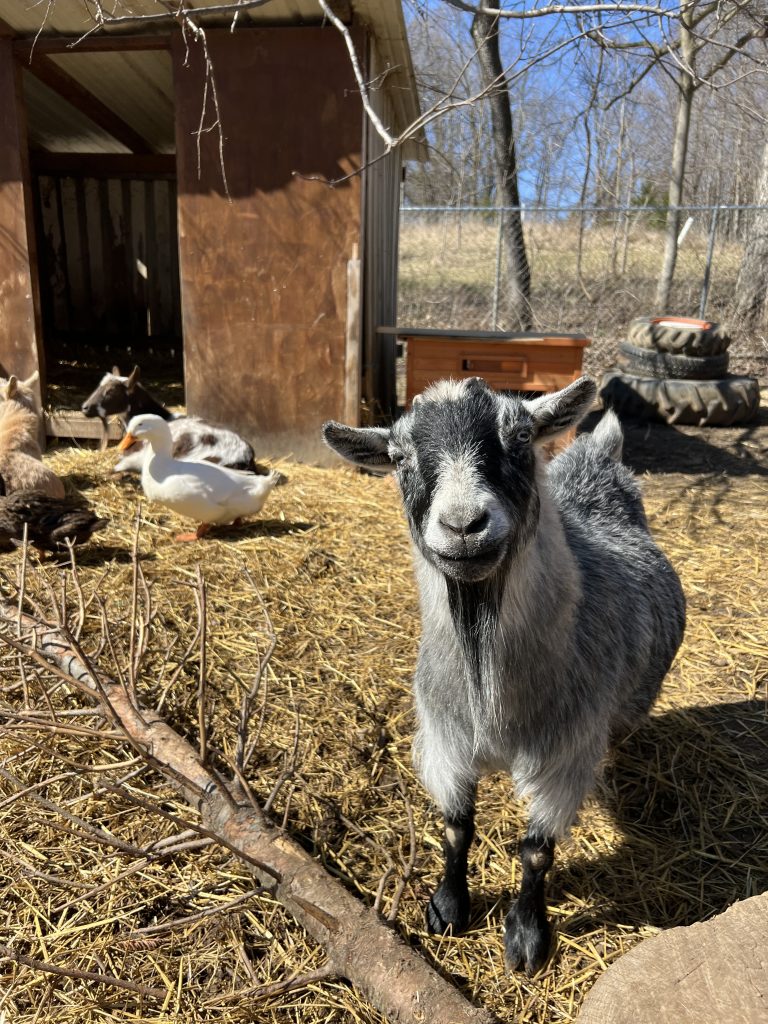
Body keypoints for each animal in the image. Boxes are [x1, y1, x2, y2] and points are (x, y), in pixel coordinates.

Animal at [323, 378, 684, 974]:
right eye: (399, 457)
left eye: (518, 437)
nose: (463, 526)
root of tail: (597, 458)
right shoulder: (445, 739)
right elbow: (455, 827)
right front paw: (448, 907)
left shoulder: (564, 754)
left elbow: (537, 851)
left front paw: (527, 937)